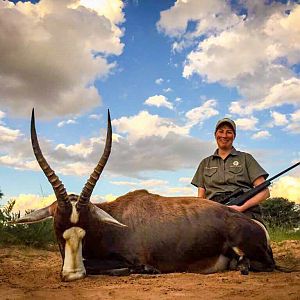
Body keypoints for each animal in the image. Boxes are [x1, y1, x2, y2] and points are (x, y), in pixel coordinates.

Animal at [14, 110, 276, 282]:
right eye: (58, 230)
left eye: (86, 229)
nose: (73, 274)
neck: (108, 225)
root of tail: (252, 223)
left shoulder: (129, 258)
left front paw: (147, 270)